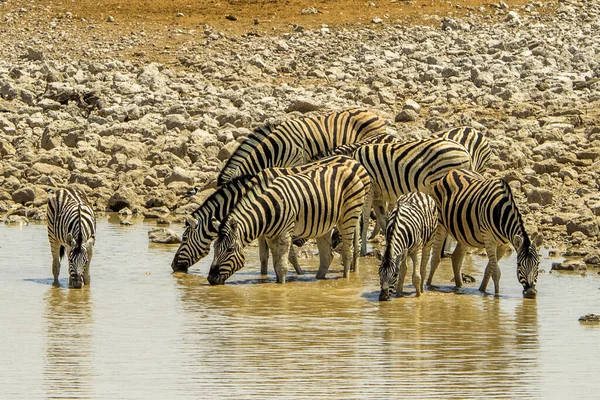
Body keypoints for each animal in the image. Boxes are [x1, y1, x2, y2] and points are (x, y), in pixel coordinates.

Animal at [169, 155, 366, 276]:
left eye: (184, 238)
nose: (173, 266)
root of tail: (354, 160)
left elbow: (289, 255)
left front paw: (299, 273)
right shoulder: (263, 227)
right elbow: (264, 257)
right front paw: (263, 277)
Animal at [426, 168, 544, 296]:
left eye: (538, 264)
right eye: (519, 265)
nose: (531, 292)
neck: (502, 214)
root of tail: (453, 171)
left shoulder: (503, 245)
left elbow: (489, 269)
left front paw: (482, 291)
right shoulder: (489, 239)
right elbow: (496, 271)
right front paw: (496, 296)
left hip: (464, 233)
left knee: (456, 258)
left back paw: (459, 287)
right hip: (440, 224)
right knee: (435, 259)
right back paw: (428, 285)